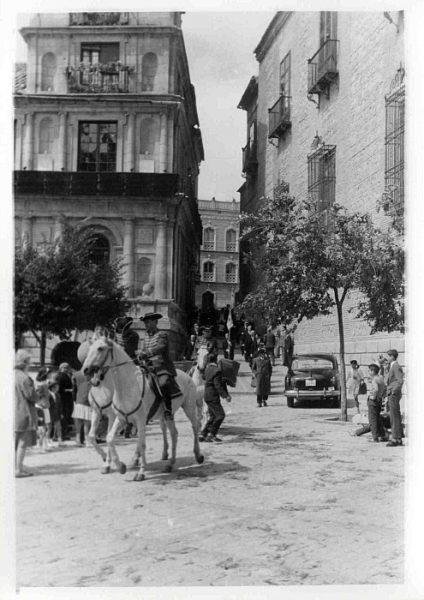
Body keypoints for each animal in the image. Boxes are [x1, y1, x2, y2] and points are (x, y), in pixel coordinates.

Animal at [82, 340, 205, 480]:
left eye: (100, 348)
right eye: (90, 348)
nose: (86, 369)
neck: (128, 385)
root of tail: (187, 375)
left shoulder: (138, 419)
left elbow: (142, 444)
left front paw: (140, 472)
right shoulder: (120, 418)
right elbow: (108, 438)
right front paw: (120, 466)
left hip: (189, 407)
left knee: (195, 426)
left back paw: (198, 455)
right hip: (167, 415)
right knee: (174, 433)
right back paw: (170, 463)